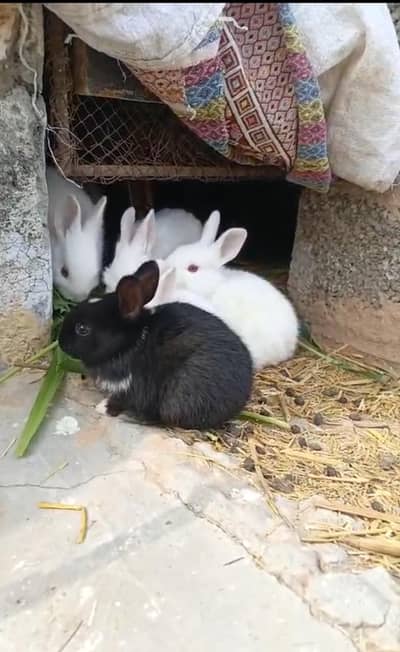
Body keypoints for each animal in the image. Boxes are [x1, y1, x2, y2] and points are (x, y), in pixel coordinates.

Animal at [58, 260, 253, 430]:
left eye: (82, 329)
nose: (60, 343)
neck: (132, 341)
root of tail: (240, 399)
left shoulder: (129, 386)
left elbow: (119, 401)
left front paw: (102, 408)